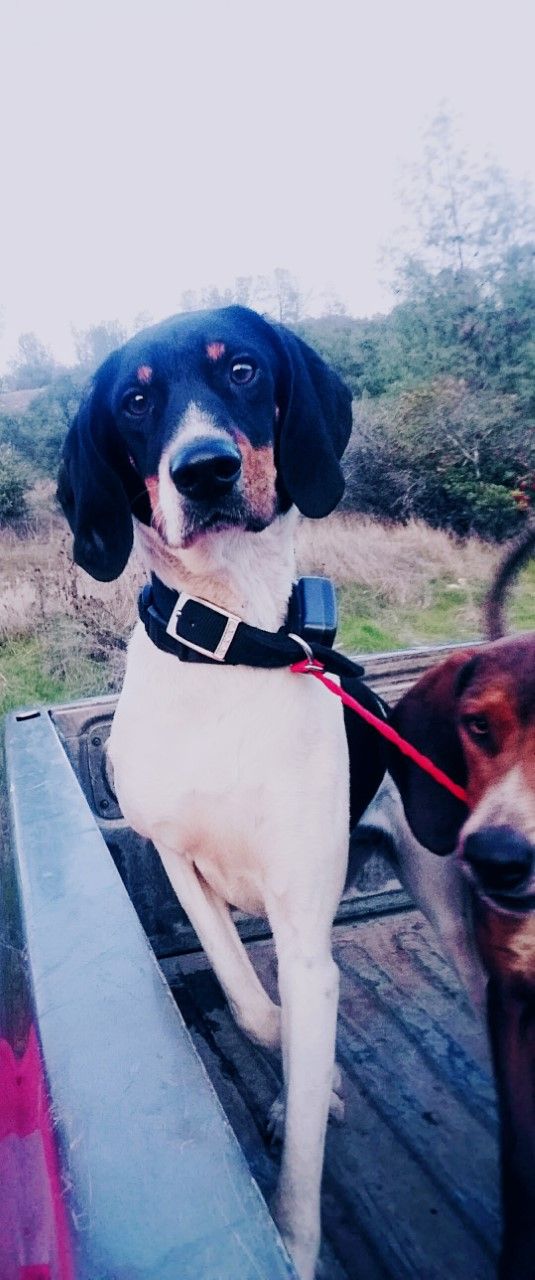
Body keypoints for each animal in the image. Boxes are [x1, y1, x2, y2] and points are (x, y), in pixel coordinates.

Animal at [58, 305, 375, 1280]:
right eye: (133, 401)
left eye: (239, 368)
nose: (204, 469)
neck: (233, 641)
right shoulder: (174, 855)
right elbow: (247, 999)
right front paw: (306, 1073)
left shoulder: (305, 930)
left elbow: (304, 1152)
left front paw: (293, 1239)